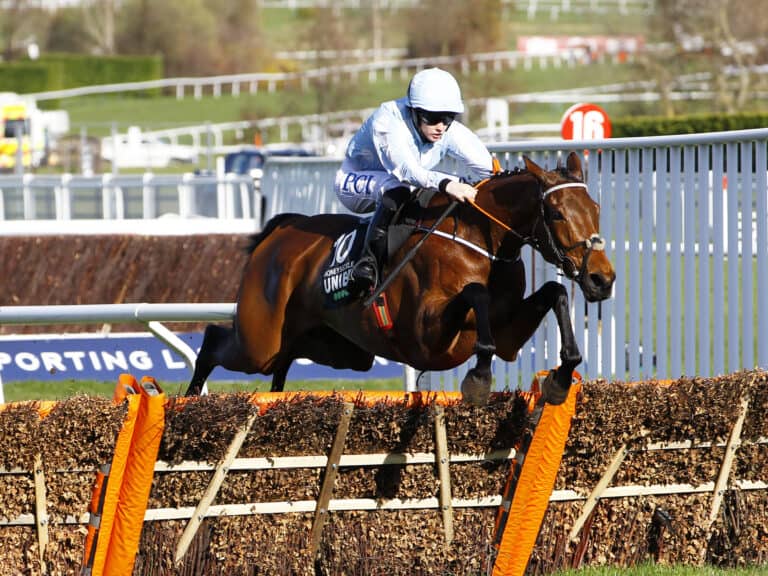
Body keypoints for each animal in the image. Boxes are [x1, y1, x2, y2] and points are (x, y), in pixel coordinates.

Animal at [186, 153, 616, 404]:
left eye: (596, 208)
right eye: (557, 213)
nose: (602, 279)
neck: (481, 242)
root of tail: (279, 232)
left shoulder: (509, 333)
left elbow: (555, 291)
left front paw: (562, 375)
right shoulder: (426, 334)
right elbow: (476, 294)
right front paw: (479, 376)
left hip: (340, 350)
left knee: (285, 357)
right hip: (260, 342)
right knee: (213, 341)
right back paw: (190, 398)